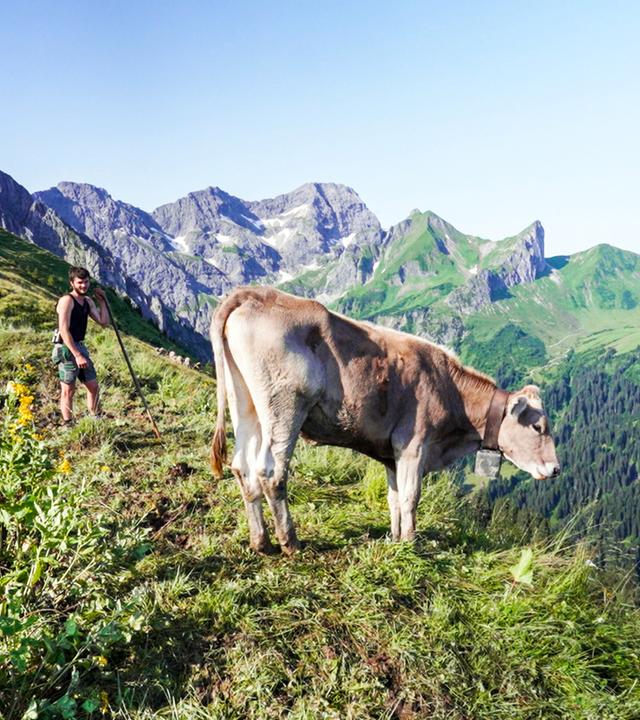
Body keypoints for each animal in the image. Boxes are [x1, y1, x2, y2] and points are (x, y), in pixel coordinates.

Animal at [210, 287, 560, 554]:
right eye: (538, 427)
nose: (556, 469)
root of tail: (254, 293)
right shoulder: (414, 445)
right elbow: (411, 496)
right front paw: (411, 542)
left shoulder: (393, 454)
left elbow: (394, 499)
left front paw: (395, 538)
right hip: (285, 406)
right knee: (271, 472)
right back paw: (290, 542)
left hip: (245, 404)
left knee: (242, 468)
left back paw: (260, 541)